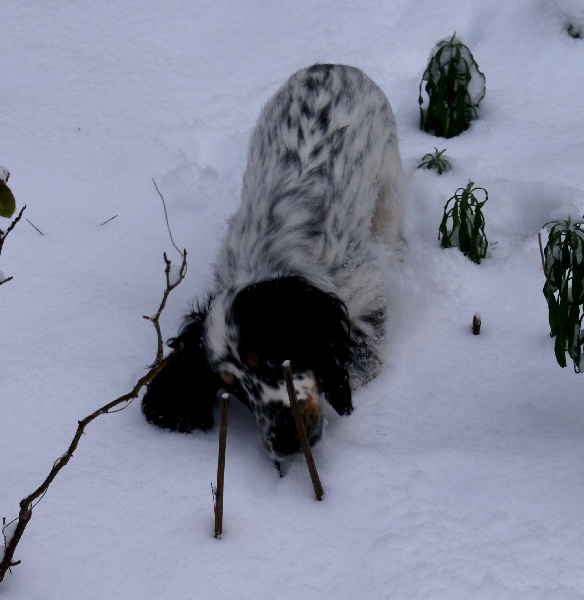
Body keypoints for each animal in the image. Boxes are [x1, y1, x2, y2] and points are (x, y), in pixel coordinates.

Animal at [143, 65, 406, 458]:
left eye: (273, 358)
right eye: (232, 387)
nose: (284, 441)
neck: (270, 265)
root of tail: (330, 65)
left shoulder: (364, 299)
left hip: (388, 176)